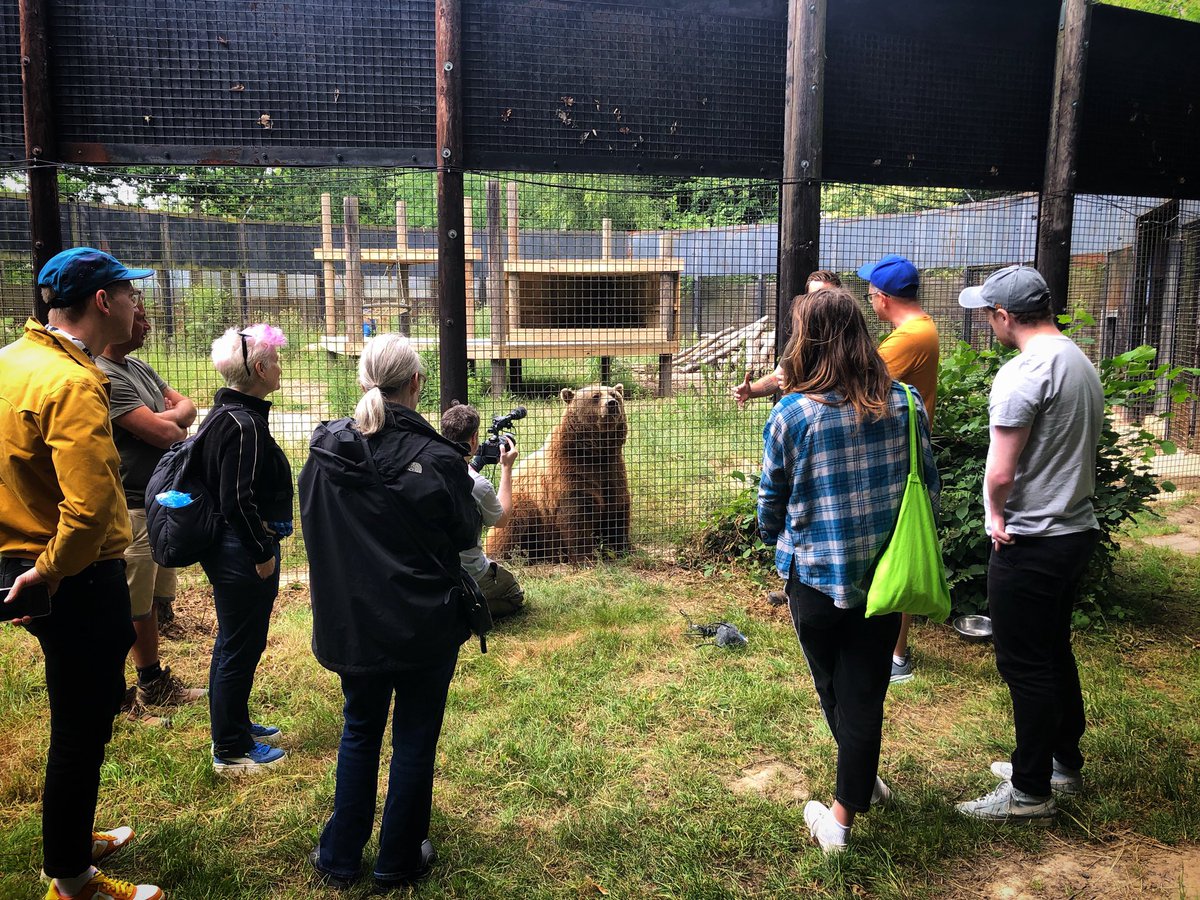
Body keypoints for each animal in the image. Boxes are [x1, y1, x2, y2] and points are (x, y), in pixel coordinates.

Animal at [484, 381, 633, 564]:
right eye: (595, 396)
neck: (594, 453)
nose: (612, 404)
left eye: (614, 395)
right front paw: (586, 557)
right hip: (526, 505)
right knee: (511, 525)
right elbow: (576, 515)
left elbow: (617, 508)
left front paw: (621, 549)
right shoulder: (569, 472)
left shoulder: (612, 468)